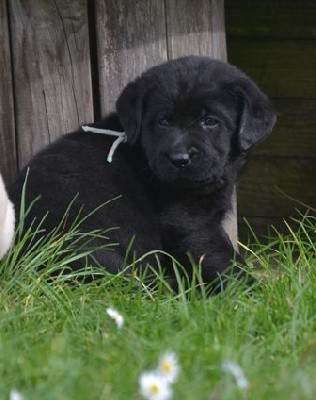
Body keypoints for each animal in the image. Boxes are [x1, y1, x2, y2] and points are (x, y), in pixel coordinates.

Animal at [9, 56, 276, 286]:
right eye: (163, 121)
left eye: (210, 121)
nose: (180, 159)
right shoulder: (188, 220)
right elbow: (217, 255)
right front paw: (247, 292)